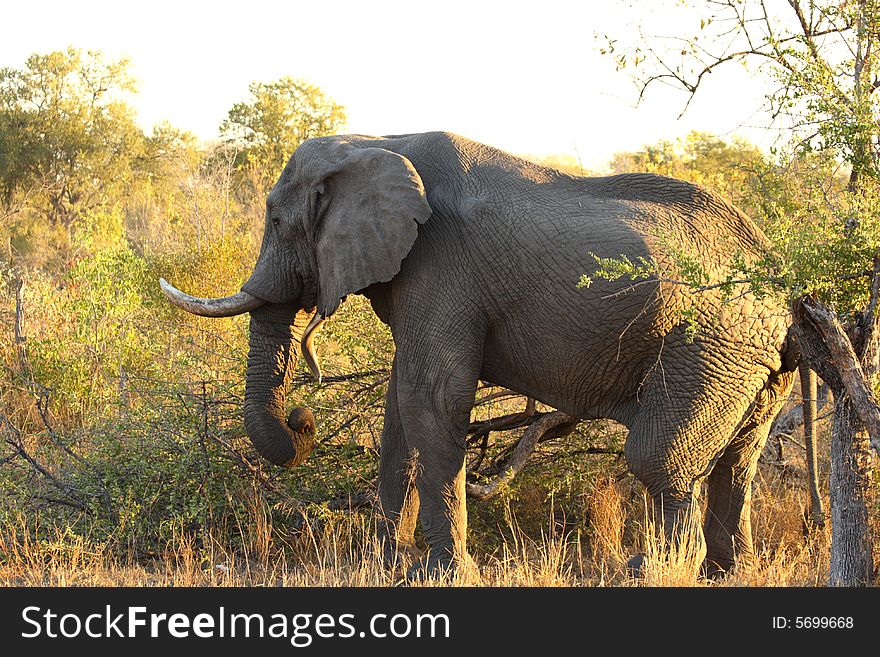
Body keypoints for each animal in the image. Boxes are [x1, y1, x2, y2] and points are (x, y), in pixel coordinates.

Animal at [160, 131, 820, 576]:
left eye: (276, 220)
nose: (303, 420)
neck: (376, 140)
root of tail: (787, 286)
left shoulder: (441, 265)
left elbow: (433, 399)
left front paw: (445, 575)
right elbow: (402, 409)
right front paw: (387, 566)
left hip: (708, 341)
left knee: (660, 457)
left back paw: (654, 573)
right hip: (751, 361)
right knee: (739, 459)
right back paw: (724, 574)